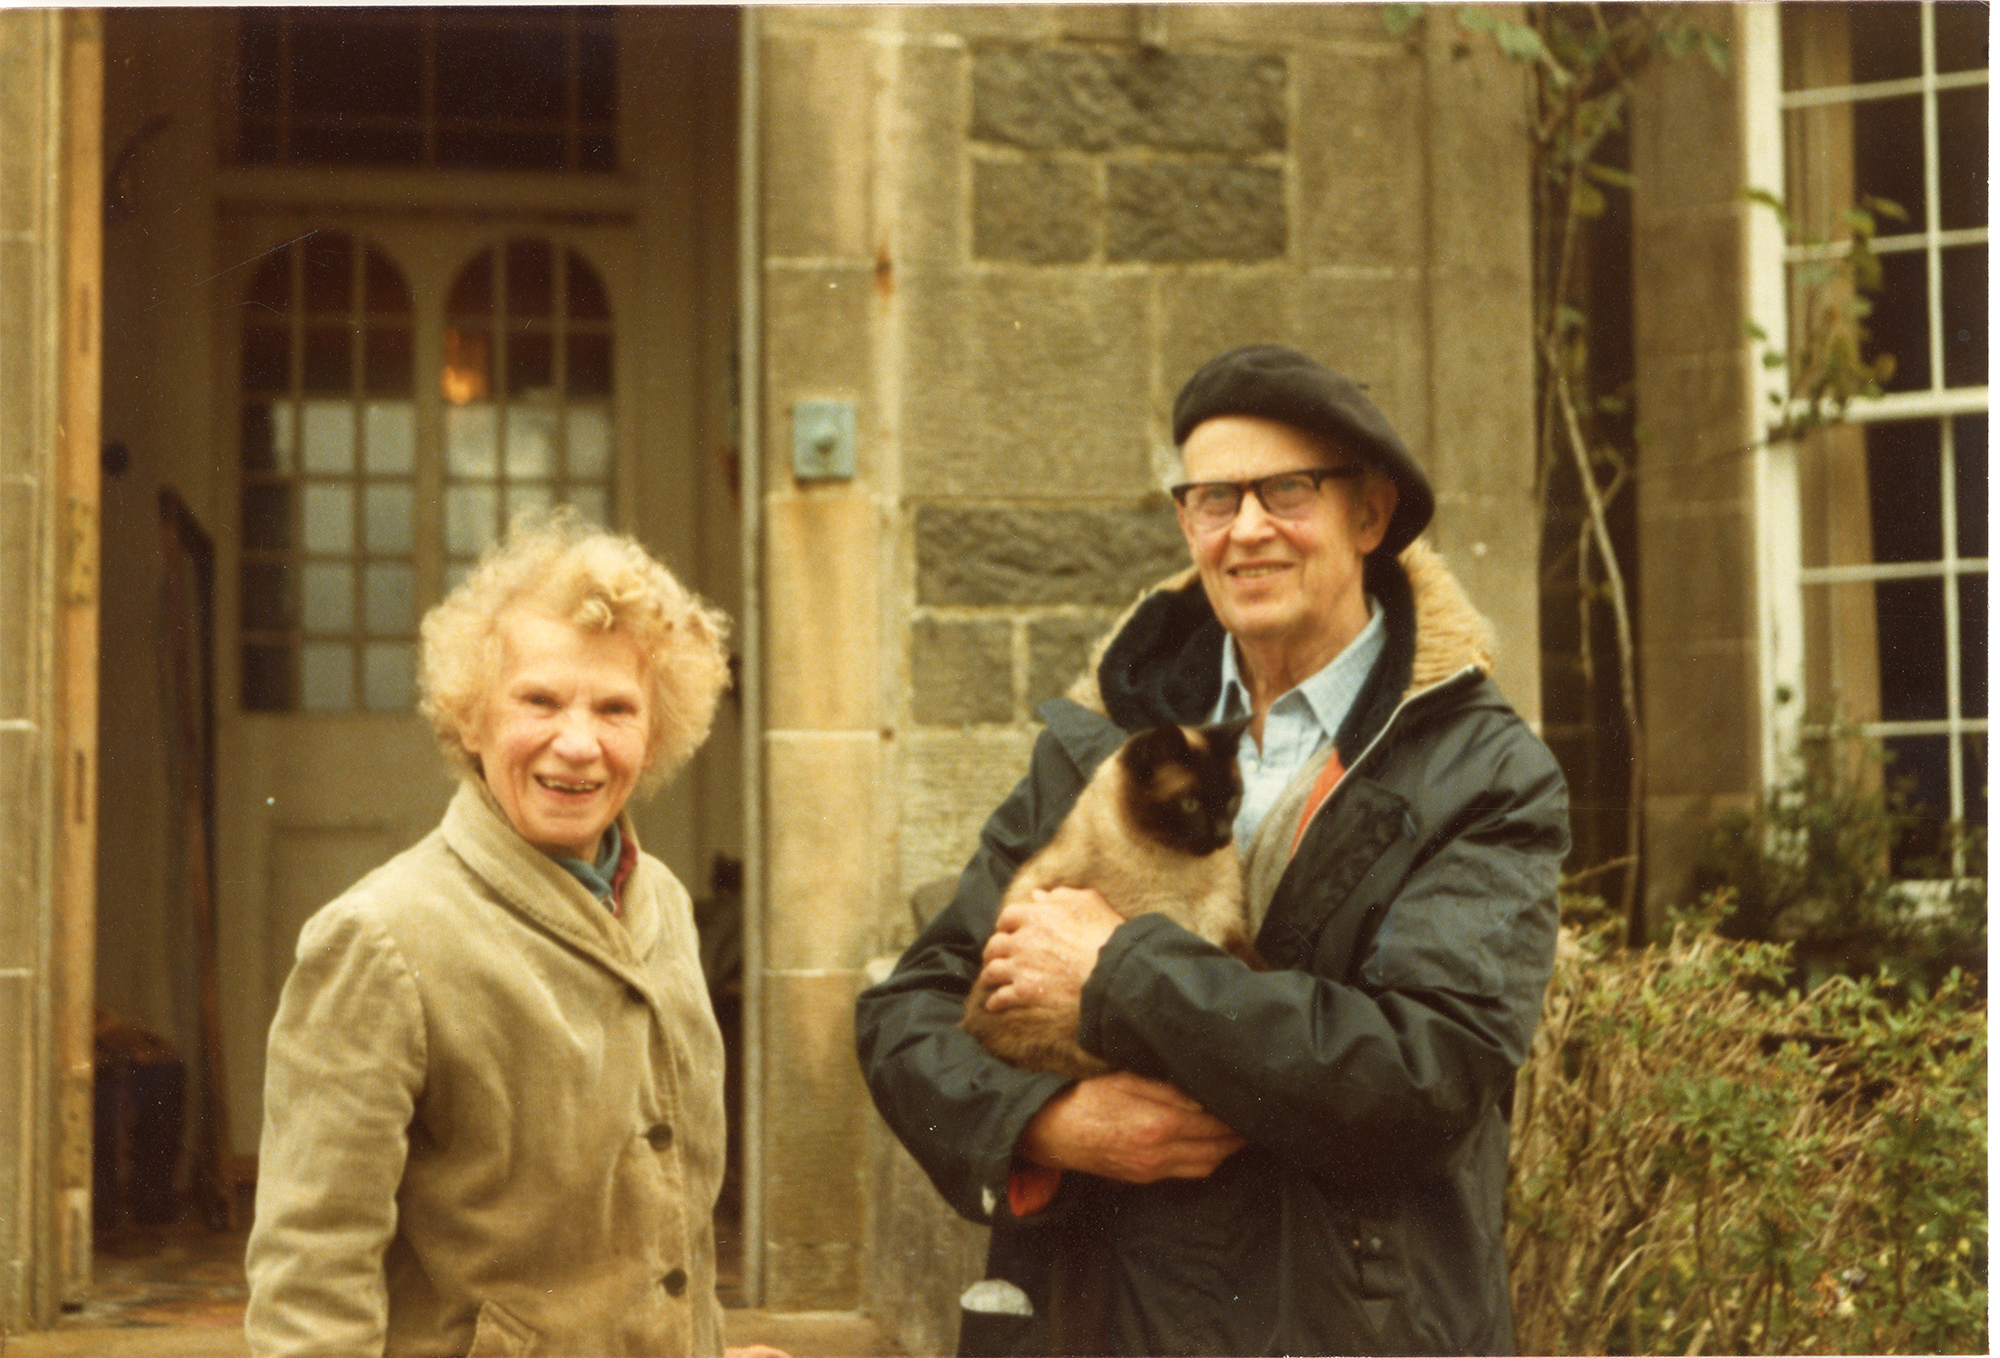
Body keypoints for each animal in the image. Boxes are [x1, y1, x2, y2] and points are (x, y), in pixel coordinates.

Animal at [964, 716, 1256, 1080]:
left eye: (1232, 801)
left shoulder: (1229, 933)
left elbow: (1251, 968)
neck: (1189, 875)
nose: (1222, 836)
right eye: (1190, 804)